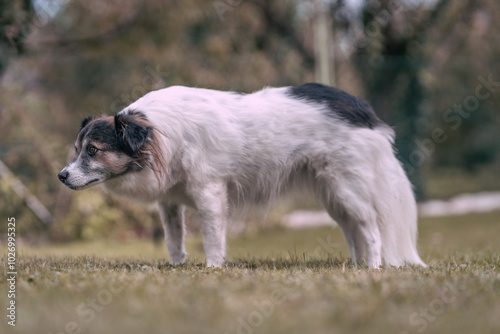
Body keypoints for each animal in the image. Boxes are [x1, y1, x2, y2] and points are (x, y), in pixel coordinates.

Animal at [58, 83, 426, 268]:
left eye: (93, 151)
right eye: (77, 149)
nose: (61, 176)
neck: (160, 133)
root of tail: (363, 112)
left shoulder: (210, 193)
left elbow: (211, 237)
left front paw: (213, 269)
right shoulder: (169, 203)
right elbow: (173, 239)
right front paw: (177, 268)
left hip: (348, 189)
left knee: (371, 229)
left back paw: (374, 269)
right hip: (334, 196)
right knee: (353, 231)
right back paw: (357, 266)